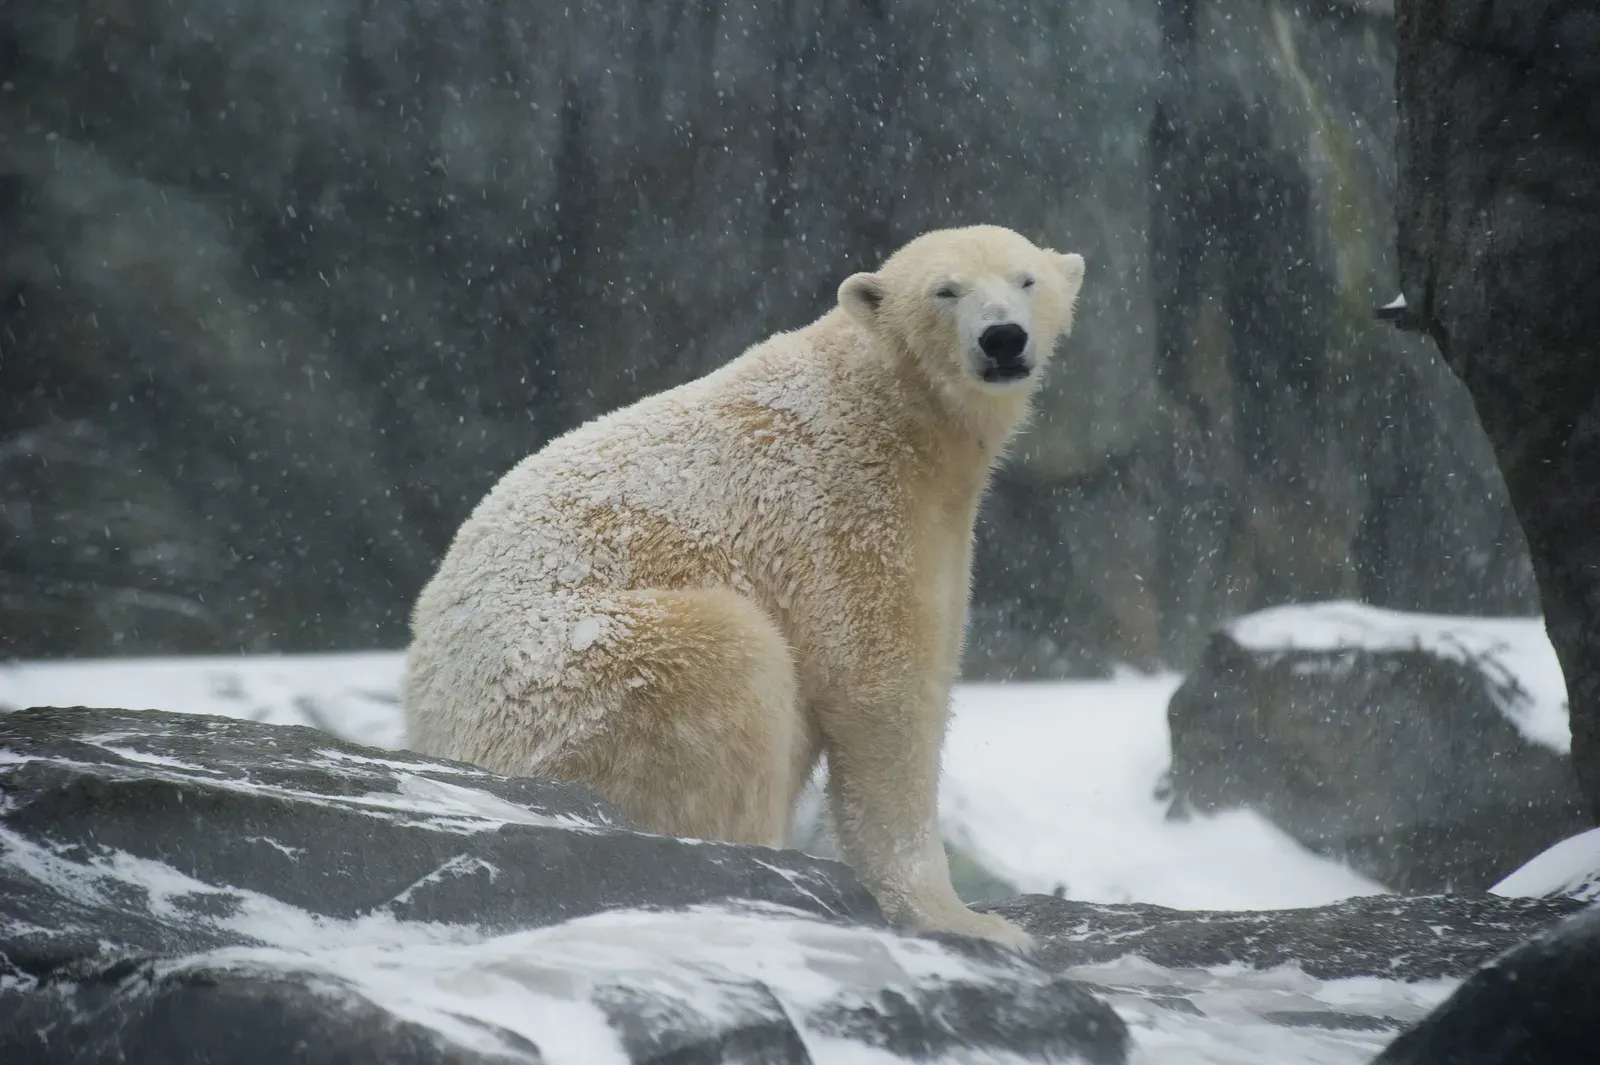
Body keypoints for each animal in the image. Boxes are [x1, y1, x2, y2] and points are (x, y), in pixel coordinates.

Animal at [402, 224, 1087, 948]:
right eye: (945, 291)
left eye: (1025, 279)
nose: (1003, 338)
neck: (887, 407)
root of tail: (430, 720)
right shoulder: (847, 514)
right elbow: (884, 691)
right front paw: (969, 919)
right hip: (570, 685)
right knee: (730, 661)